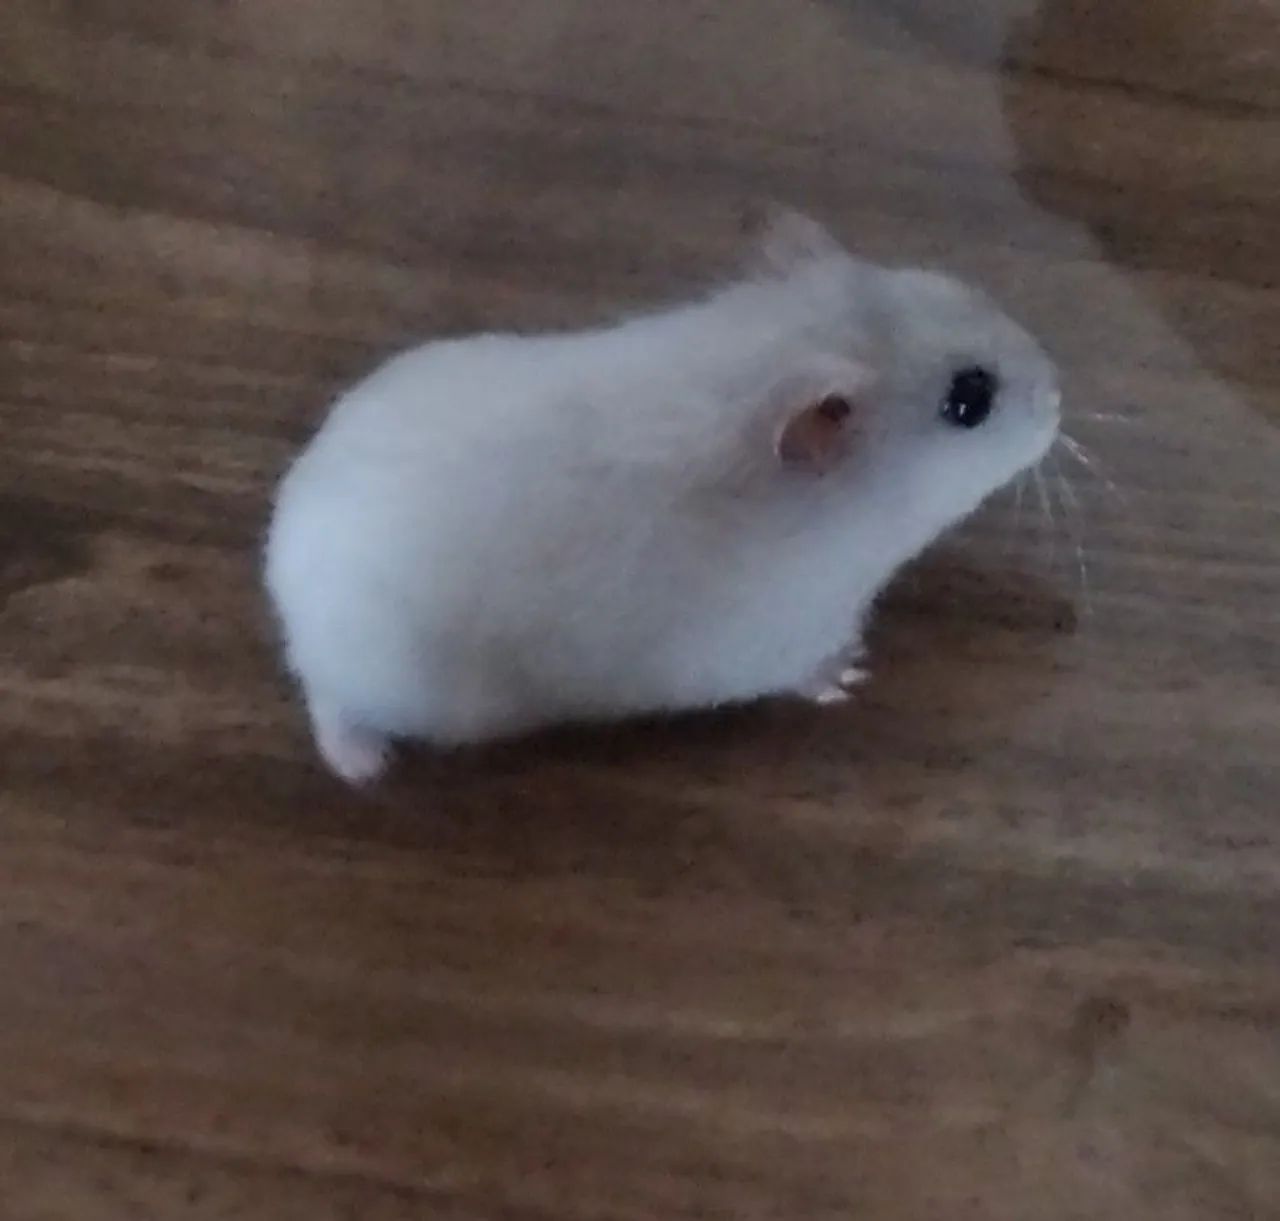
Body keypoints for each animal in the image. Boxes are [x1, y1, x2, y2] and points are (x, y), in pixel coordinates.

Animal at [265, 211, 1060, 783]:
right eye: (969, 400)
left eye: (946, 282)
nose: (1060, 391)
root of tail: (284, 584)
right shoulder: (772, 639)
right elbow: (810, 668)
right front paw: (850, 671)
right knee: (329, 708)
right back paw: (366, 767)